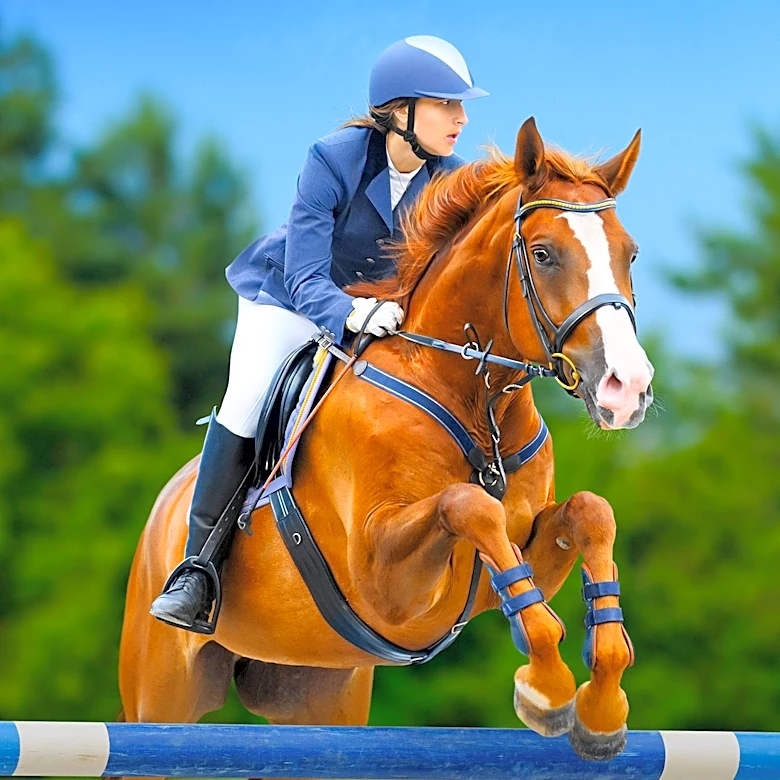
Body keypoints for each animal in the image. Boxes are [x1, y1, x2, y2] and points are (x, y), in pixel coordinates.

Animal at [118, 117, 654, 773]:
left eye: (630, 253)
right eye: (544, 254)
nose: (628, 387)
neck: (469, 395)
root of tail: (164, 506)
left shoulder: (517, 551)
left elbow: (589, 512)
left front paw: (601, 708)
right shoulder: (382, 579)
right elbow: (468, 505)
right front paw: (547, 692)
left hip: (320, 696)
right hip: (160, 695)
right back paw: (185, 593)